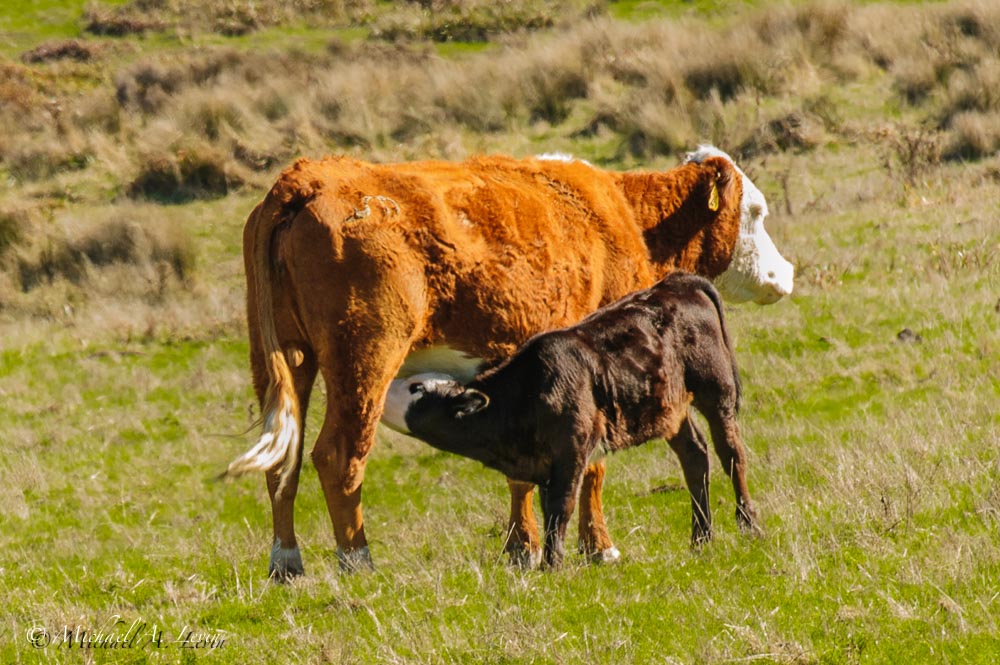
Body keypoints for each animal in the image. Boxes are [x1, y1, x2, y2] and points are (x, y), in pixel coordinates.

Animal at [225, 145, 788, 576]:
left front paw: (522, 548)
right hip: (364, 360)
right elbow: (592, 468)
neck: (621, 217)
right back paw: (358, 560)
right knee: (339, 456)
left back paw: (286, 562)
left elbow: (522, 476)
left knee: (284, 459)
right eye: (757, 211)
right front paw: (597, 547)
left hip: (282, 361)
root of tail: (306, 178)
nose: (784, 274)